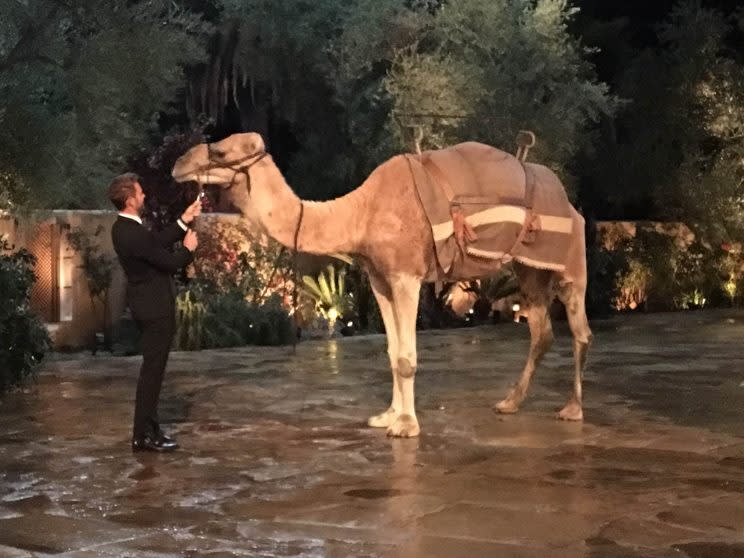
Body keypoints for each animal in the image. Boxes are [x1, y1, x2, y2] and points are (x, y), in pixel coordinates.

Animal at [173, 133, 592, 440]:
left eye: (220, 149)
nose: (179, 164)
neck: (361, 213)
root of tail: (569, 203)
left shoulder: (406, 275)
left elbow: (406, 358)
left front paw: (406, 426)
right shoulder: (380, 279)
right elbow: (392, 353)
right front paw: (388, 415)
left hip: (570, 261)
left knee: (579, 330)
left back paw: (572, 409)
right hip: (529, 268)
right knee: (541, 331)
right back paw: (509, 403)